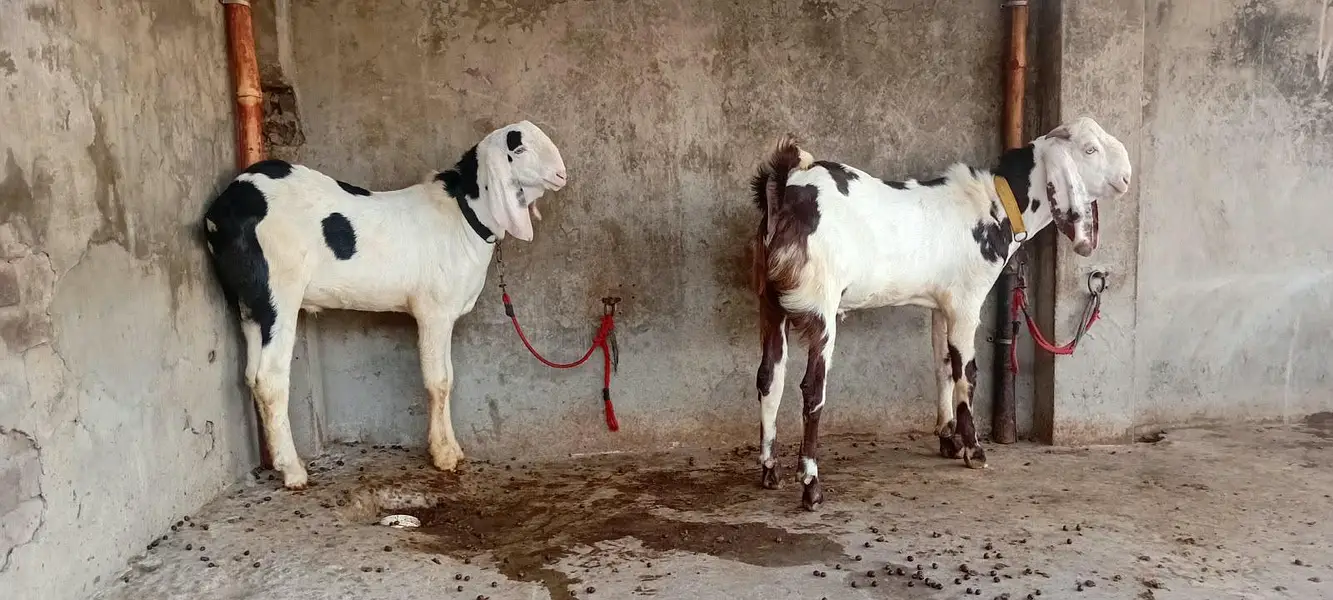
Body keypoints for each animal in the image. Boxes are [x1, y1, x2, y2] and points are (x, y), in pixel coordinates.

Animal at [202, 121, 568, 489]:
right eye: (518, 149)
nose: (561, 174)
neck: (462, 217)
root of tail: (222, 211)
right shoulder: (434, 311)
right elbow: (439, 381)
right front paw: (444, 456)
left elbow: (448, 376)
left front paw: (452, 449)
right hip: (278, 288)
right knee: (270, 376)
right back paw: (293, 470)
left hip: (249, 301)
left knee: (252, 375)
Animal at [748, 117, 1132, 510]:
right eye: (1089, 149)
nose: (1127, 177)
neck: (995, 203)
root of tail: (786, 189)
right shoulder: (966, 302)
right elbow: (968, 372)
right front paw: (974, 449)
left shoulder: (940, 305)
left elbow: (944, 365)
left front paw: (948, 438)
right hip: (821, 307)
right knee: (812, 390)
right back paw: (811, 485)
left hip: (770, 303)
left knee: (769, 378)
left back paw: (770, 471)